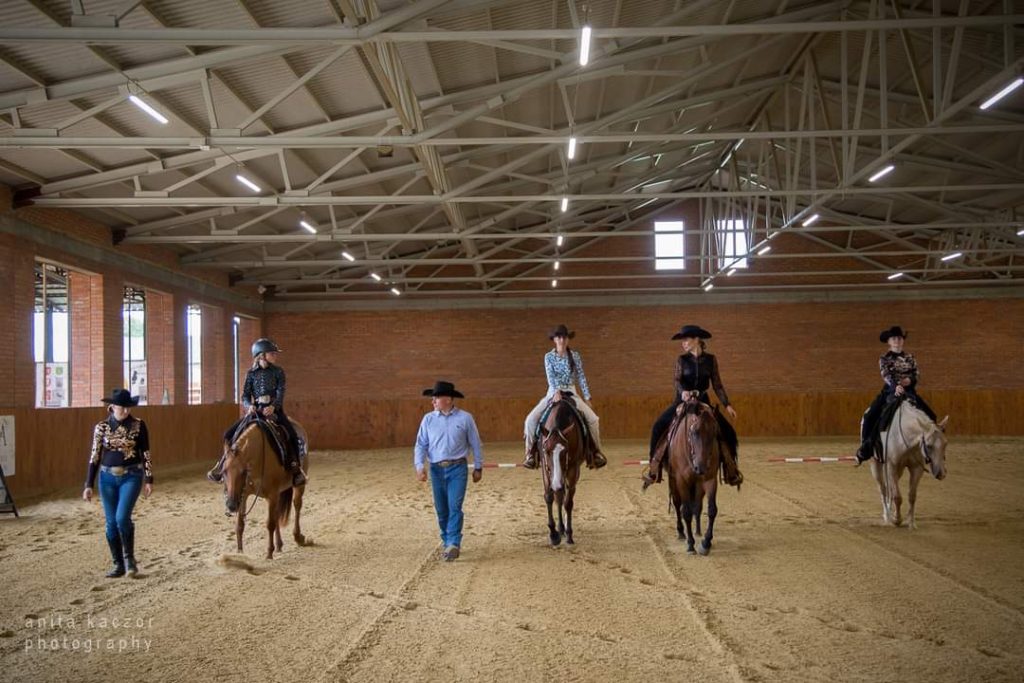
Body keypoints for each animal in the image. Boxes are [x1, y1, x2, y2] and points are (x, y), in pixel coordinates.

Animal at [220, 417, 307, 561]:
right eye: (224, 471)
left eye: (244, 472)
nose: (231, 505)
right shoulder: (243, 495)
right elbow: (240, 525)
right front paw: (239, 553)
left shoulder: (271, 495)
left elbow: (270, 524)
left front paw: (269, 553)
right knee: (277, 513)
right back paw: (279, 544)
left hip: (299, 484)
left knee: (297, 505)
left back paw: (298, 537)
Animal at [536, 397, 585, 548]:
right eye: (546, 450)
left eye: (565, 451)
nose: (557, 484)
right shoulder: (546, 469)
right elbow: (549, 497)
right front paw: (553, 534)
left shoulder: (573, 470)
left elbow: (568, 503)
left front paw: (569, 535)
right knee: (558, 496)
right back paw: (560, 529)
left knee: (564, 496)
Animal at [663, 401, 720, 557]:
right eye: (694, 431)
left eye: (715, 431)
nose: (701, 467)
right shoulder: (682, 481)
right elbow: (686, 512)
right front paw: (690, 544)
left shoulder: (710, 479)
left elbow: (712, 510)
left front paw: (706, 543)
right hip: (673, 482)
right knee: (678, 505)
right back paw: (681, 532)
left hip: (698, 485)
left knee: (697, 505)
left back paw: (698, 530)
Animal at [872, 397, 950, 532]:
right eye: (928, 446)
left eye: (945, 443)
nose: (941, 473)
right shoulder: (891, 467)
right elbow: (897, 497)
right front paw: (897, 520)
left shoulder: (916, 468)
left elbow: (912, 496)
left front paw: (911, 522)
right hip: (877, 465)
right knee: (883, 489)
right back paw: (887, 516)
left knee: (890, 488)